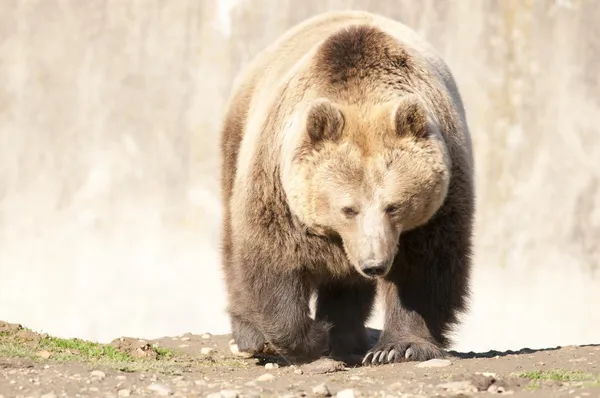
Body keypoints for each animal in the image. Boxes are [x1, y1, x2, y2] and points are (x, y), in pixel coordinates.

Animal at [219, 9, 474, 366]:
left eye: (394, 206)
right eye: (348, 208)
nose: (374, 264)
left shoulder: (440, 197)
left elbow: (426, 267)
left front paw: (398, 348)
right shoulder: (276, 184)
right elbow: (271, 257)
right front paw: (309, 337)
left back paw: (347, 336)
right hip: (238, 137)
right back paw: (252, 336)